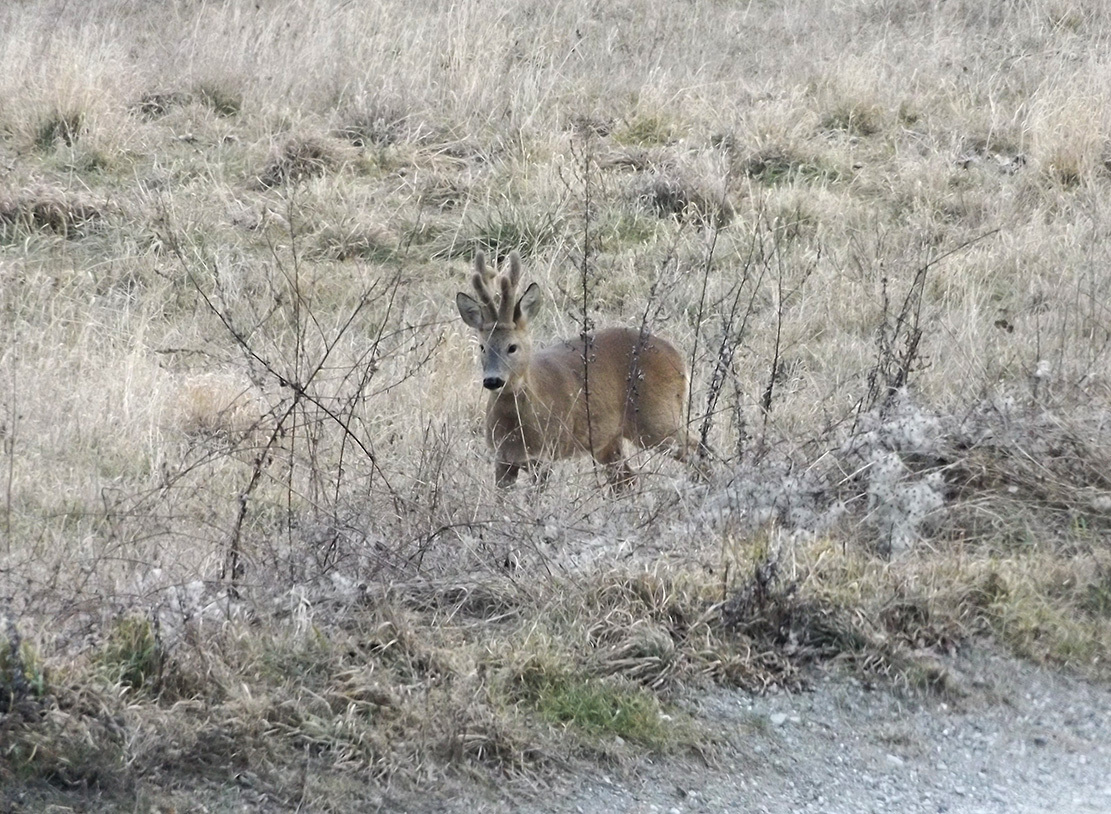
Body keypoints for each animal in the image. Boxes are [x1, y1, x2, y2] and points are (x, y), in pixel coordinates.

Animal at [455, 250, 697, 486]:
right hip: (607, 439)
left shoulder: (545, 454)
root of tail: (677, 357)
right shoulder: (502, 459)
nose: (492, 380)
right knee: (626, 478)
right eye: (482, 347)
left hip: (657, 417)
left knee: (697, 451)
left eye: (512, 347)